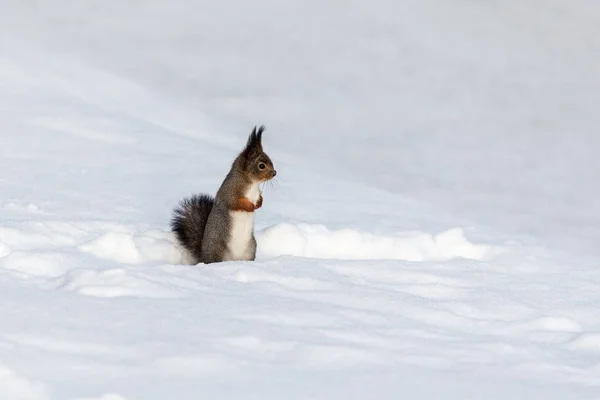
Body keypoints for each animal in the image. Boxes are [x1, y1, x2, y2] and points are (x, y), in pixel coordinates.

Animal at [171, 126, 276, 264]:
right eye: (261, 166)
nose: (274, 173)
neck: (252, 184)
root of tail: (203, 256)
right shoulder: (229, 193)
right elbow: (236, 203)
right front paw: (251, 207)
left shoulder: (256, 193)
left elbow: (260, 198)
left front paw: (259, 203)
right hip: (218, 249)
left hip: (251, 248)